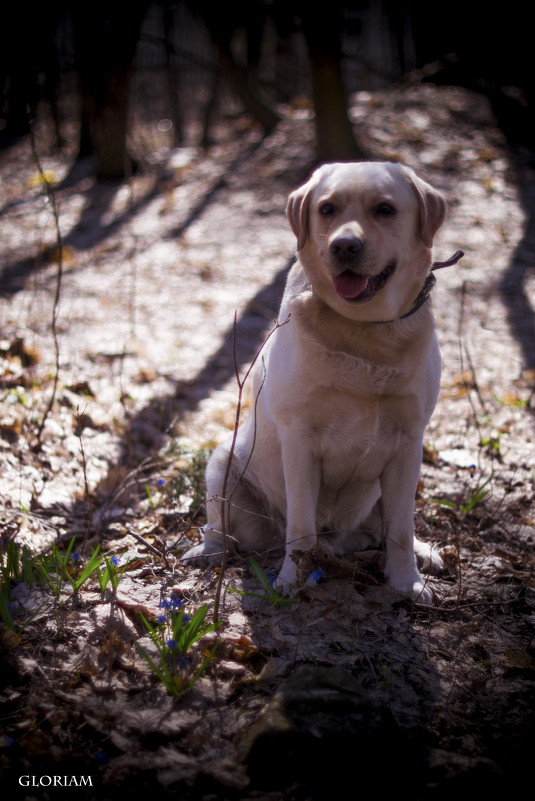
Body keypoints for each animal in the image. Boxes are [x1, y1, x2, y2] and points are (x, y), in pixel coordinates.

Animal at [183, 161, 448, 600]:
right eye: (327, 209)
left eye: (385, 209)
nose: (344, 246)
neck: (364, 331)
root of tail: (337, 540)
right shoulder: (300, 440)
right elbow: (301, 526)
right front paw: (291, 581)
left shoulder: (410, 441)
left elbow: (401, 529)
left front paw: (406, 580)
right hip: (223, 465)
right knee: (223, 532)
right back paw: (207, 552)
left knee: (383, 527)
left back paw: (417, 550)